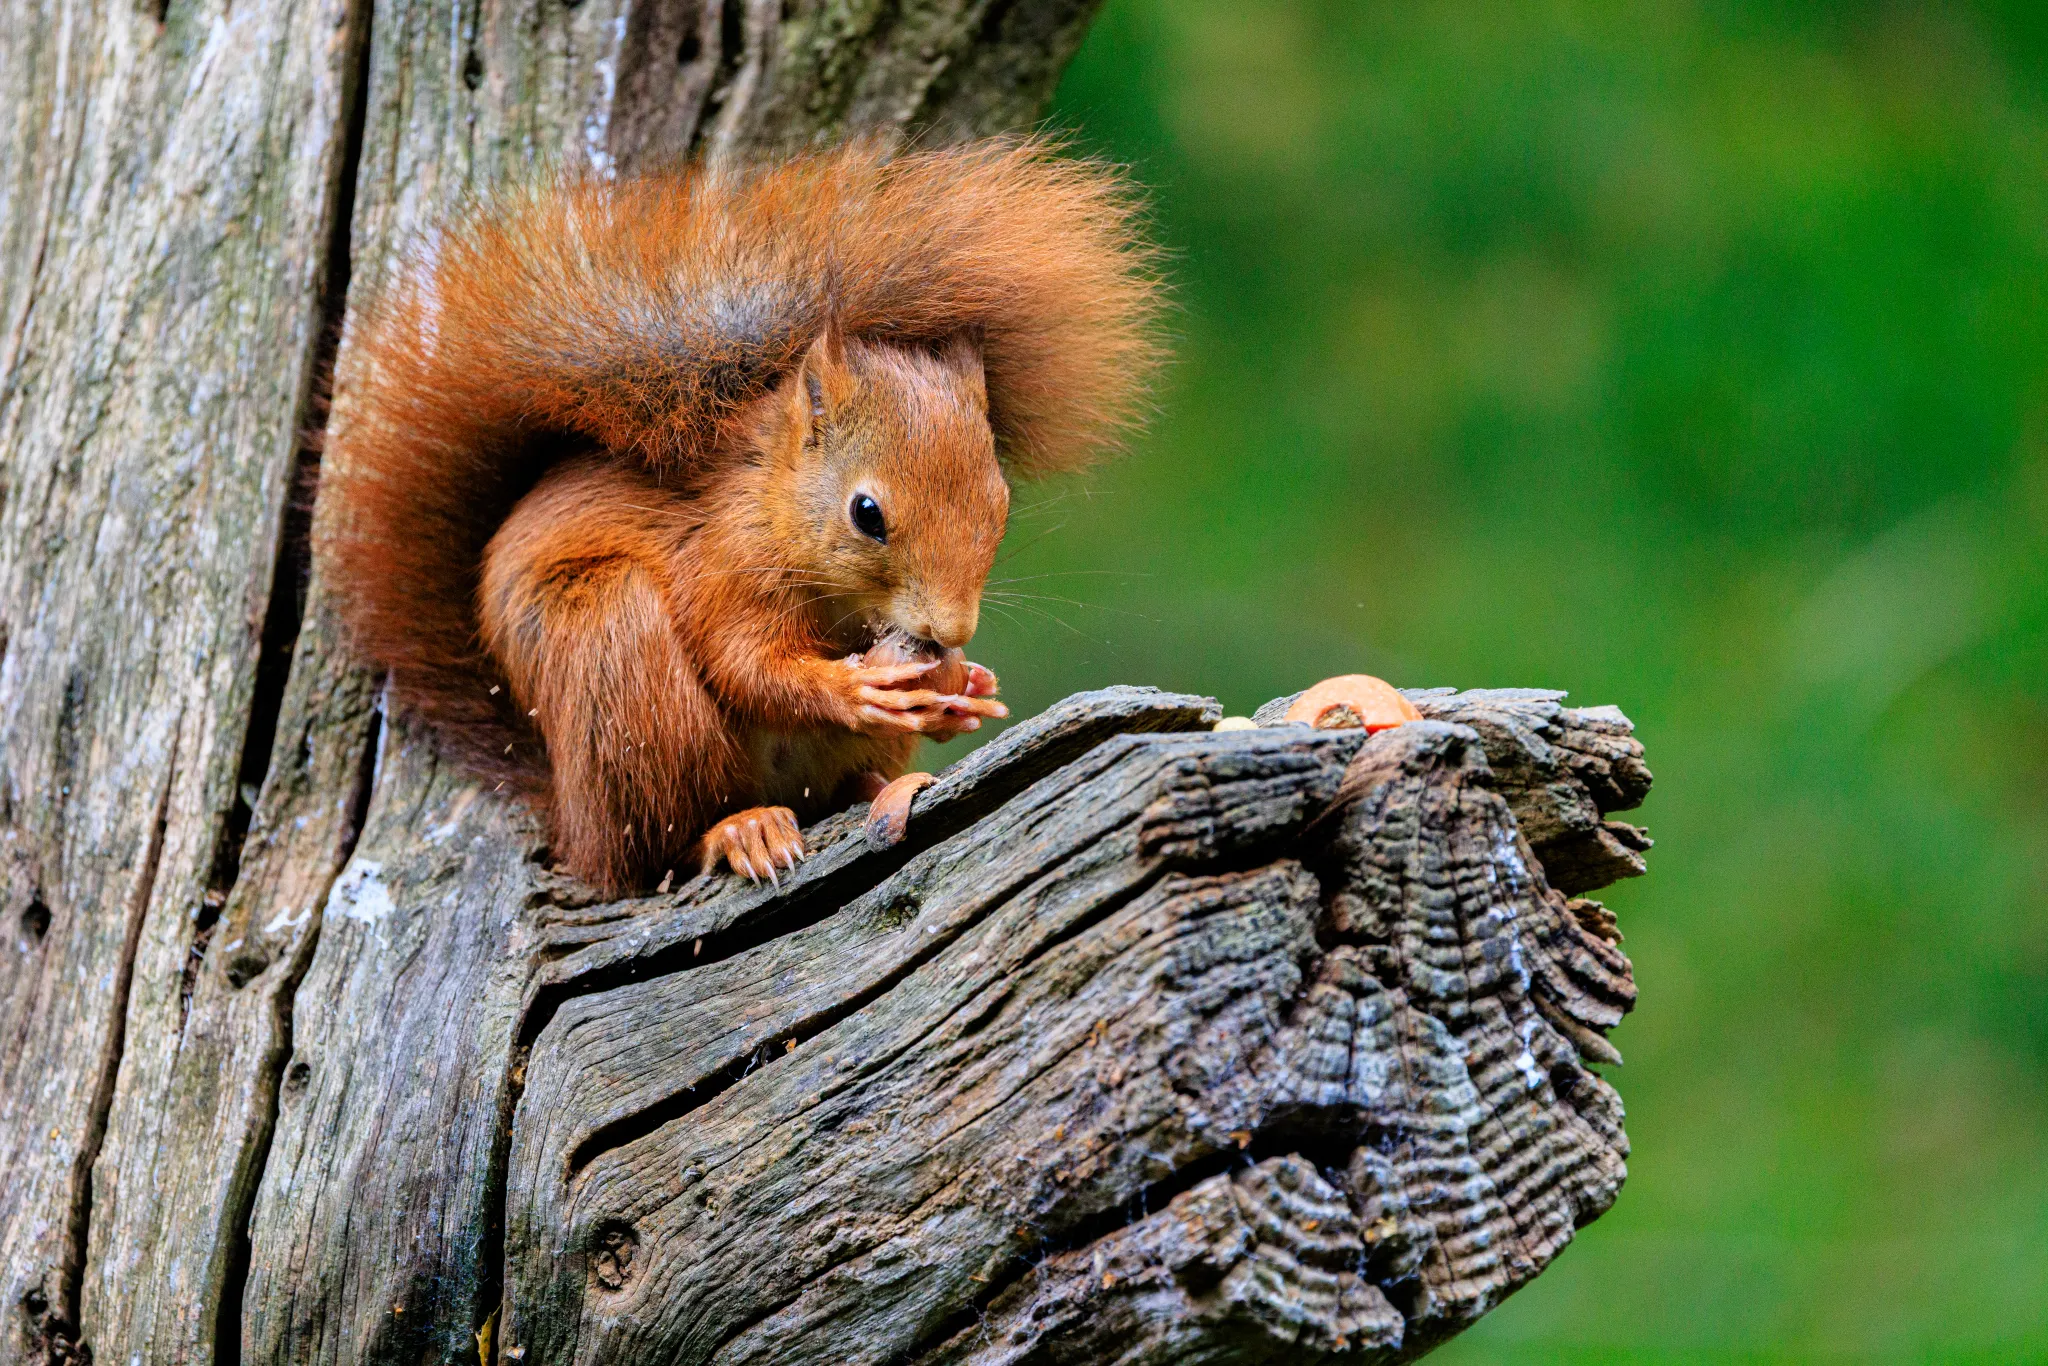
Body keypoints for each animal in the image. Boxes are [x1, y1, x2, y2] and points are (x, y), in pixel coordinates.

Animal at [316, 137, 1164, 895]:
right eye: (867, 513)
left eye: (1001, 502)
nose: (950, 630)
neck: (779, 512)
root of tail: (567, 816)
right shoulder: (720, 562)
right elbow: (745, 663)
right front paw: (853, 688)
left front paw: (971, 690)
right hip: (613, 658)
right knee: (650, 855)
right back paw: (738, 830)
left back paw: (885, 791)